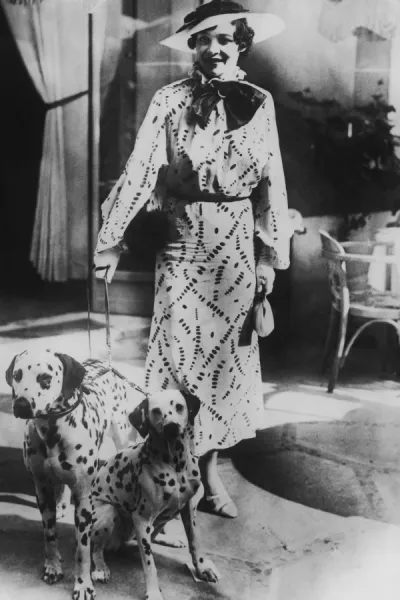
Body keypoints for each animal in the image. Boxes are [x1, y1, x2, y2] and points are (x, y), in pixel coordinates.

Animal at [6, 350, 142, 600]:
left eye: (45, 378)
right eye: (18, 375)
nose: (21, 405)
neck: (51, 429)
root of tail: (104, 363)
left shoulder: (84, 499)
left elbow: (83, 548)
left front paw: (83, 585)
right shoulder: (42, 489)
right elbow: (50, 534)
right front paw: (52, 567)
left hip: (122, 440)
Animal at [90, 390, 220, 600]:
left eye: (179, 406)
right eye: (156, 411)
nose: (171, 427)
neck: (175, 465)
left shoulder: (188, 509)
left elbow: (195, 542)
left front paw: (202, 569)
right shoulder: (141, 519)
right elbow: (150, 565)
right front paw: (153, 591)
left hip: (167, 516)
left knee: (153, 535)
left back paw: (169, 539)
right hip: (109, 513)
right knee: (96, 548)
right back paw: (100, 568)